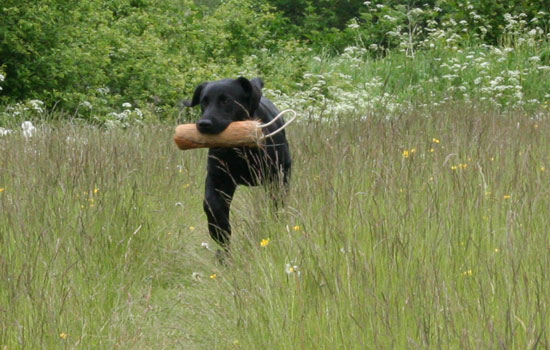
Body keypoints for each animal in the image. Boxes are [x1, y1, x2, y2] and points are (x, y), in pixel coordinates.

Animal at [184, 76, 292, 247]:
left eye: (226, 100)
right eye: (203, 101)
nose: (203, 124)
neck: (242, 148)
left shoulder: (278, 175)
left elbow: (276, 203)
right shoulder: (218, 178)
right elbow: (213, 207)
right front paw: (220, 234)